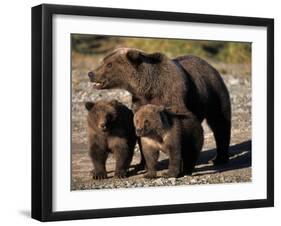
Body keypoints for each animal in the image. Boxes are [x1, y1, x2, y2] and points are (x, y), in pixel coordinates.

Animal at [88, 47, 231, 166]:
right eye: (103, 61)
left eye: (109, 64)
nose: (91, 73)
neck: (149, 88)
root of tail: (210, 65)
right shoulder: (140, 102)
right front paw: (142, 164)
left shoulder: (172, 96)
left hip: (213, 91)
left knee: (220, 122)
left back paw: (219, 158)